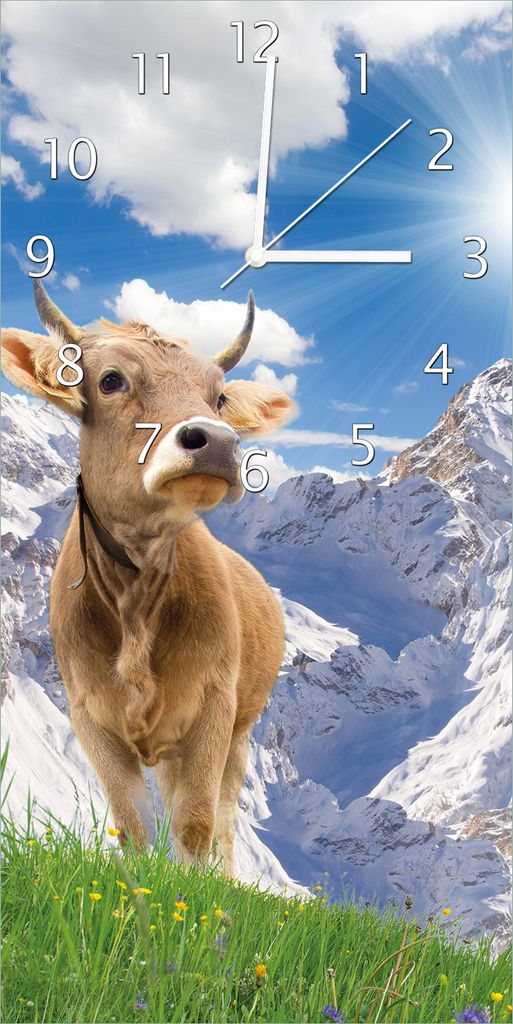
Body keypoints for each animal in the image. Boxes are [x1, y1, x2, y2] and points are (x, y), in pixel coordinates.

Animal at [2, 282, 296, 874]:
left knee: (224, 819)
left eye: (219, 397)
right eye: (111, 380)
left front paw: (194, 891)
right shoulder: (90, 717)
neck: (136, 600)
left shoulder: (214, 706)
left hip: (240, 731)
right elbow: (134, 824)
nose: (217, 441)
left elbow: (197, 822)